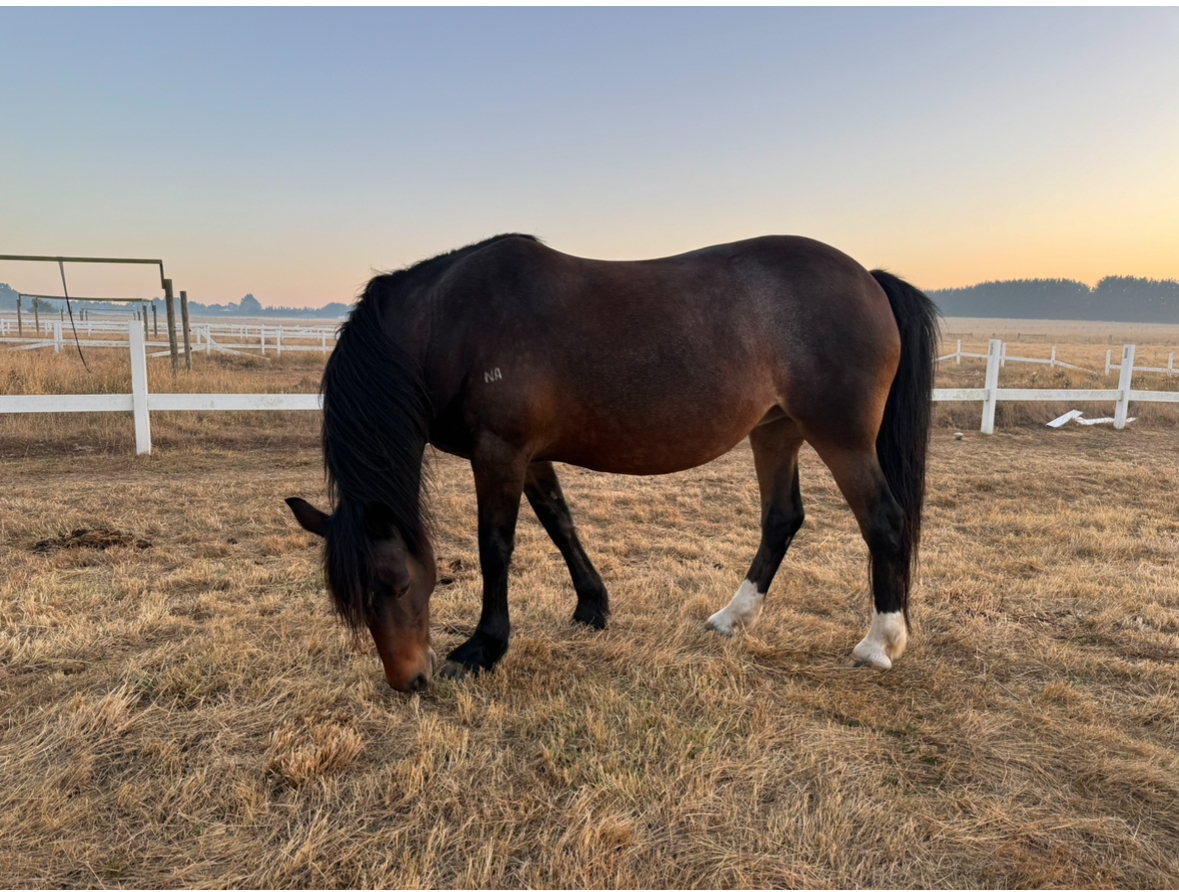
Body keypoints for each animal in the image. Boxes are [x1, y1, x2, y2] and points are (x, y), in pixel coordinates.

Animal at [286, 233, 938, 693]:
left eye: (395, 585)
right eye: (347, 600)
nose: (408, 681)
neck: (450, 321)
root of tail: (869, 278)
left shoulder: (499, 452)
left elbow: (496, 547)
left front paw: (484, 647)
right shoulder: (528, 457)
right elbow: (560, 523)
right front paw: (591, 607)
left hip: (841, 437)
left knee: (883, 521)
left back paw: (880, 642)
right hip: (775, 431)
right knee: (782, 519)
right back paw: (732, 617)